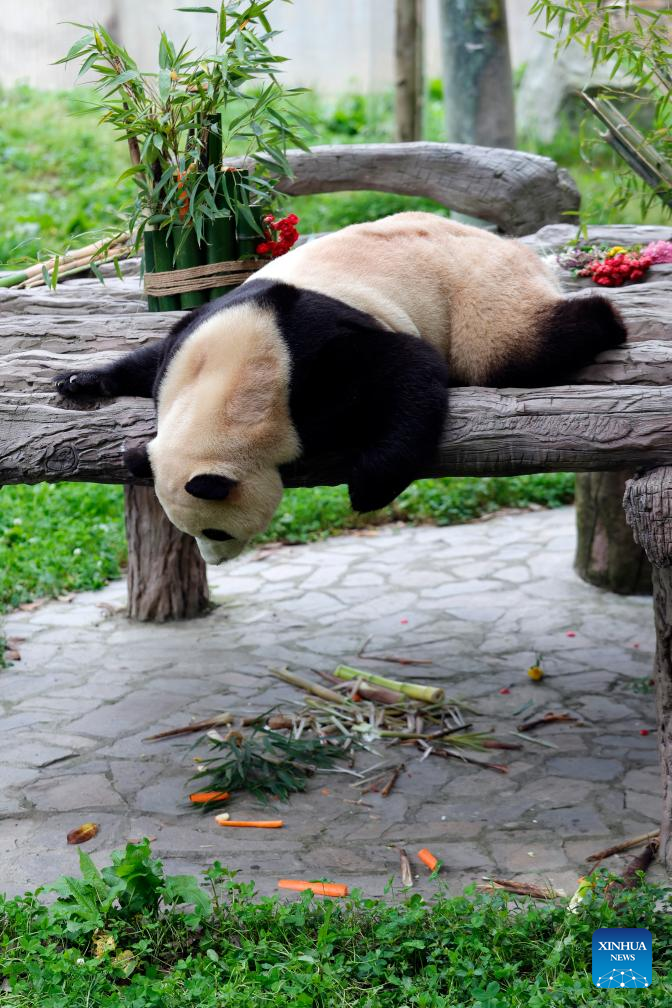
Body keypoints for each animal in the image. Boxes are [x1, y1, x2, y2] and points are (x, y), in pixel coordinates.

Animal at [55, 211, 628, 564]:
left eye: (214, 531)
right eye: (189, 533)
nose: (213, 561)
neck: (230, 385)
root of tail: (514, 248)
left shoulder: (314, 359)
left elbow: (407, 371)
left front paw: (366, 487)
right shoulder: (196, 335)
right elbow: (150, 357)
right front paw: (79, 379)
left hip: (480, 292)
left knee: (510, 348)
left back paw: (606, 321)